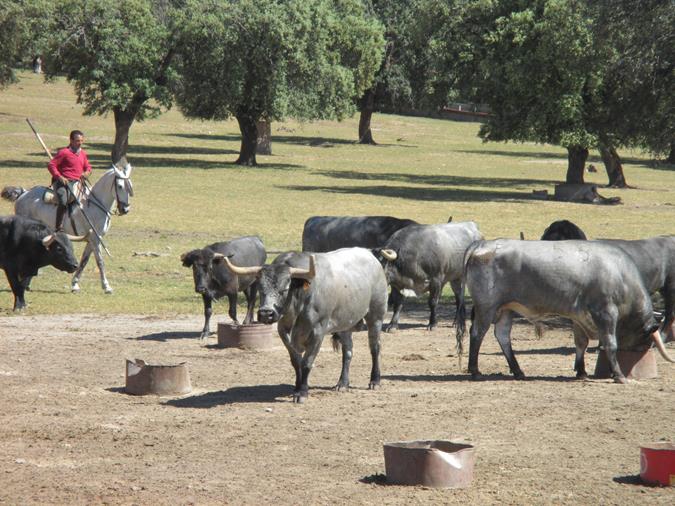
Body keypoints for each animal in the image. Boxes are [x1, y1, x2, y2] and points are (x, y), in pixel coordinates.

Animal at [2, 162, 134, 294]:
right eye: (120, 186)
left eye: (130, 186)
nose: (125, 209)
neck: (95, 205)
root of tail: (23, 193)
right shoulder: (95, 239)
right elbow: (100, 261)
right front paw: (106, 286)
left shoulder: (92, 239)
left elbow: (84, 261)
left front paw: (75, 284)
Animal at [224, 248, 388, 404]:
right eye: (260, 287)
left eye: (285, 289)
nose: (266, 313)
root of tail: (370, 256)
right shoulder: (283, 330)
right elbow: (296, 361)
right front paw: (297, 388)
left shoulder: (317, 332)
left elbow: (307, 362)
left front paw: (302, 393)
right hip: (345, 323)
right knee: (347, 351)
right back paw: (342, 383)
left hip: (375, 316)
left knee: (375, 347)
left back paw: (375, 380)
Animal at [456, 239, 672, 382]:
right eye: (646, 339)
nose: (640, 358)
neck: (619, 273)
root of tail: (483, 244)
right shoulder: (605, 312)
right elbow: (611, 343)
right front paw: (619, 375)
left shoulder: (579, 317)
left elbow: (581, 343)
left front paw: (582, 371)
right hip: (487, 308)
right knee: (477, 333)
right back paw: (475, 370)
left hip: (507, 308)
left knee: (502, 336)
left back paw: (518, 371)